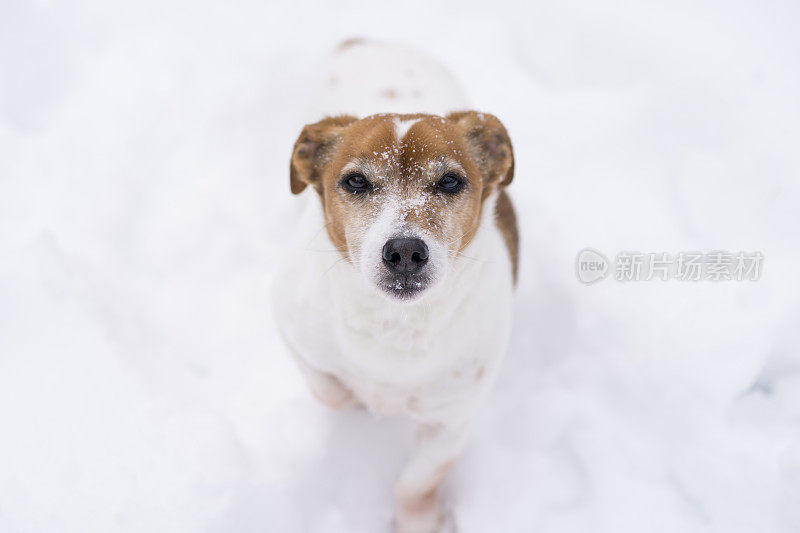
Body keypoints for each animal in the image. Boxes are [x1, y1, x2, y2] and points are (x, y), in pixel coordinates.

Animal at [272, 41, 516, 532]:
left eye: (450, 181)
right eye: (355, 181)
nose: (404, 251)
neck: (395, 326)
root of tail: (369, 41)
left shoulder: (450, 421)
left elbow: (417, 481)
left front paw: (420, 522)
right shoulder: (290, 327)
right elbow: (329, 389)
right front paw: (358, 399)